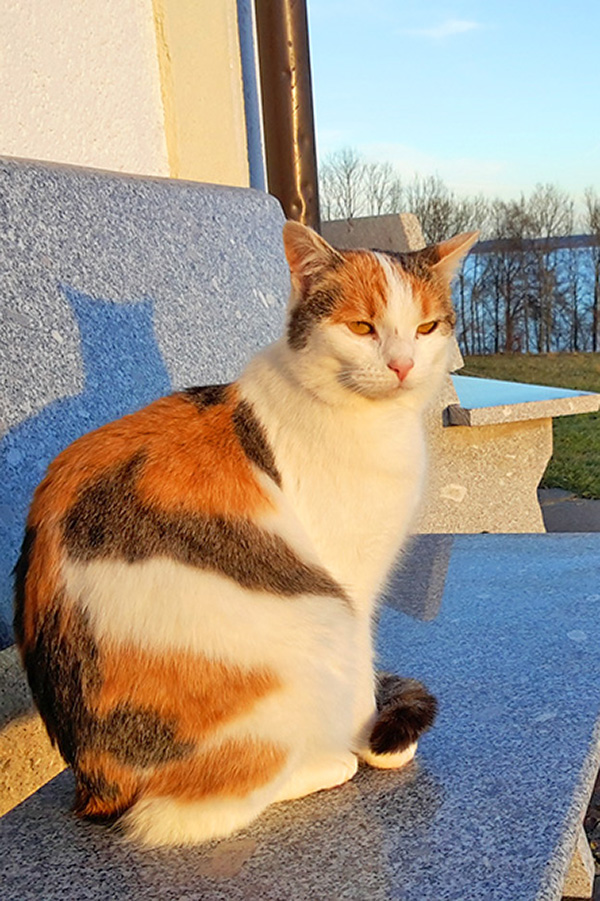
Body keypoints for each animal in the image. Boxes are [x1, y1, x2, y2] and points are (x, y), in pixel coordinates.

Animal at [14, 218, 478, 844]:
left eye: (427, 327)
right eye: (361, 326)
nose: (403, 364)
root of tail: (95, 786)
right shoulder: (351, 583)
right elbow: (362, 668)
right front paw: (370, 739)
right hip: (315, 619)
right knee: (193, 808)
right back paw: (327, 764)